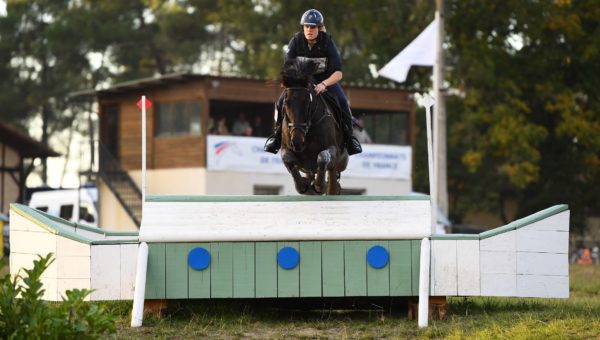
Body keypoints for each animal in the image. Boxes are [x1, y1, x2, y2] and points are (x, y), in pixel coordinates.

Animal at [280, 59, 350, 195]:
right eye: (286, 103)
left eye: (308, 102)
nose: (297, 142)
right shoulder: (285, 149)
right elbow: (288, 160)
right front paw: (303, 186)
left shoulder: (333, 149)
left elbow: (323, 158)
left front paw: (319, 186)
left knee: (333, 177)